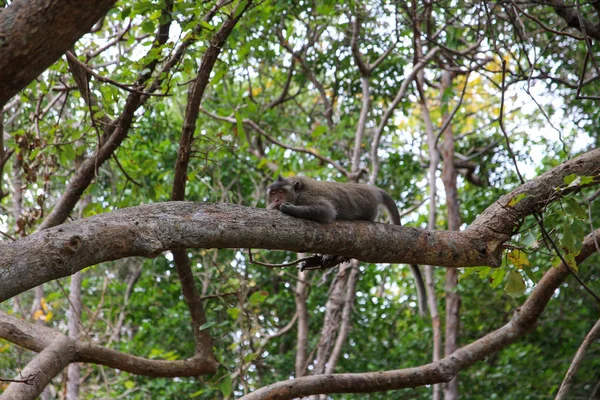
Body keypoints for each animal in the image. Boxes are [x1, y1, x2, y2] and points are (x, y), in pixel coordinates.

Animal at [266, 175, 426, 316]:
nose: (276, 199)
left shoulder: (307, 198)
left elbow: (325, 211)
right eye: (273, 193)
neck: (298, 192)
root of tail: (373, 189)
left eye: (281, 191)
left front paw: (287, 208)